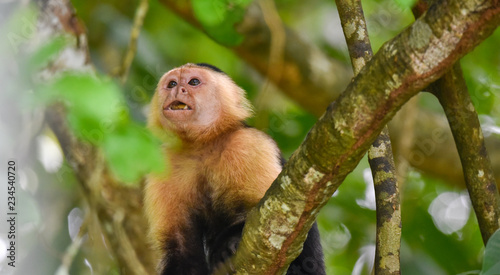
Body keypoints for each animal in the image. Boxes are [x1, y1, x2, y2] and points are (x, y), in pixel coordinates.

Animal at [146, 63, 324, 274]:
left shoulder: (248, 143)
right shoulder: (163, 166)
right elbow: (181, 249)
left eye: (193, 82)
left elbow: (272, 223)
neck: (202, 146)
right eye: (172, 83)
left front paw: (227, 242)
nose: (177, 89)